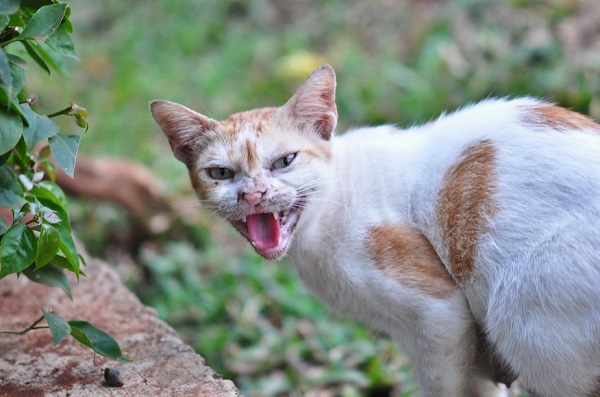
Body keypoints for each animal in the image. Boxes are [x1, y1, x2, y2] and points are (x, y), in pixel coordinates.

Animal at [152, 65, 600, 396]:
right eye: (221, 173)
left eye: (284, 161)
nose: (254, 194)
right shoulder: (460, 341)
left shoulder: (440, 314)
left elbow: (444, 384)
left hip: (521, 314)